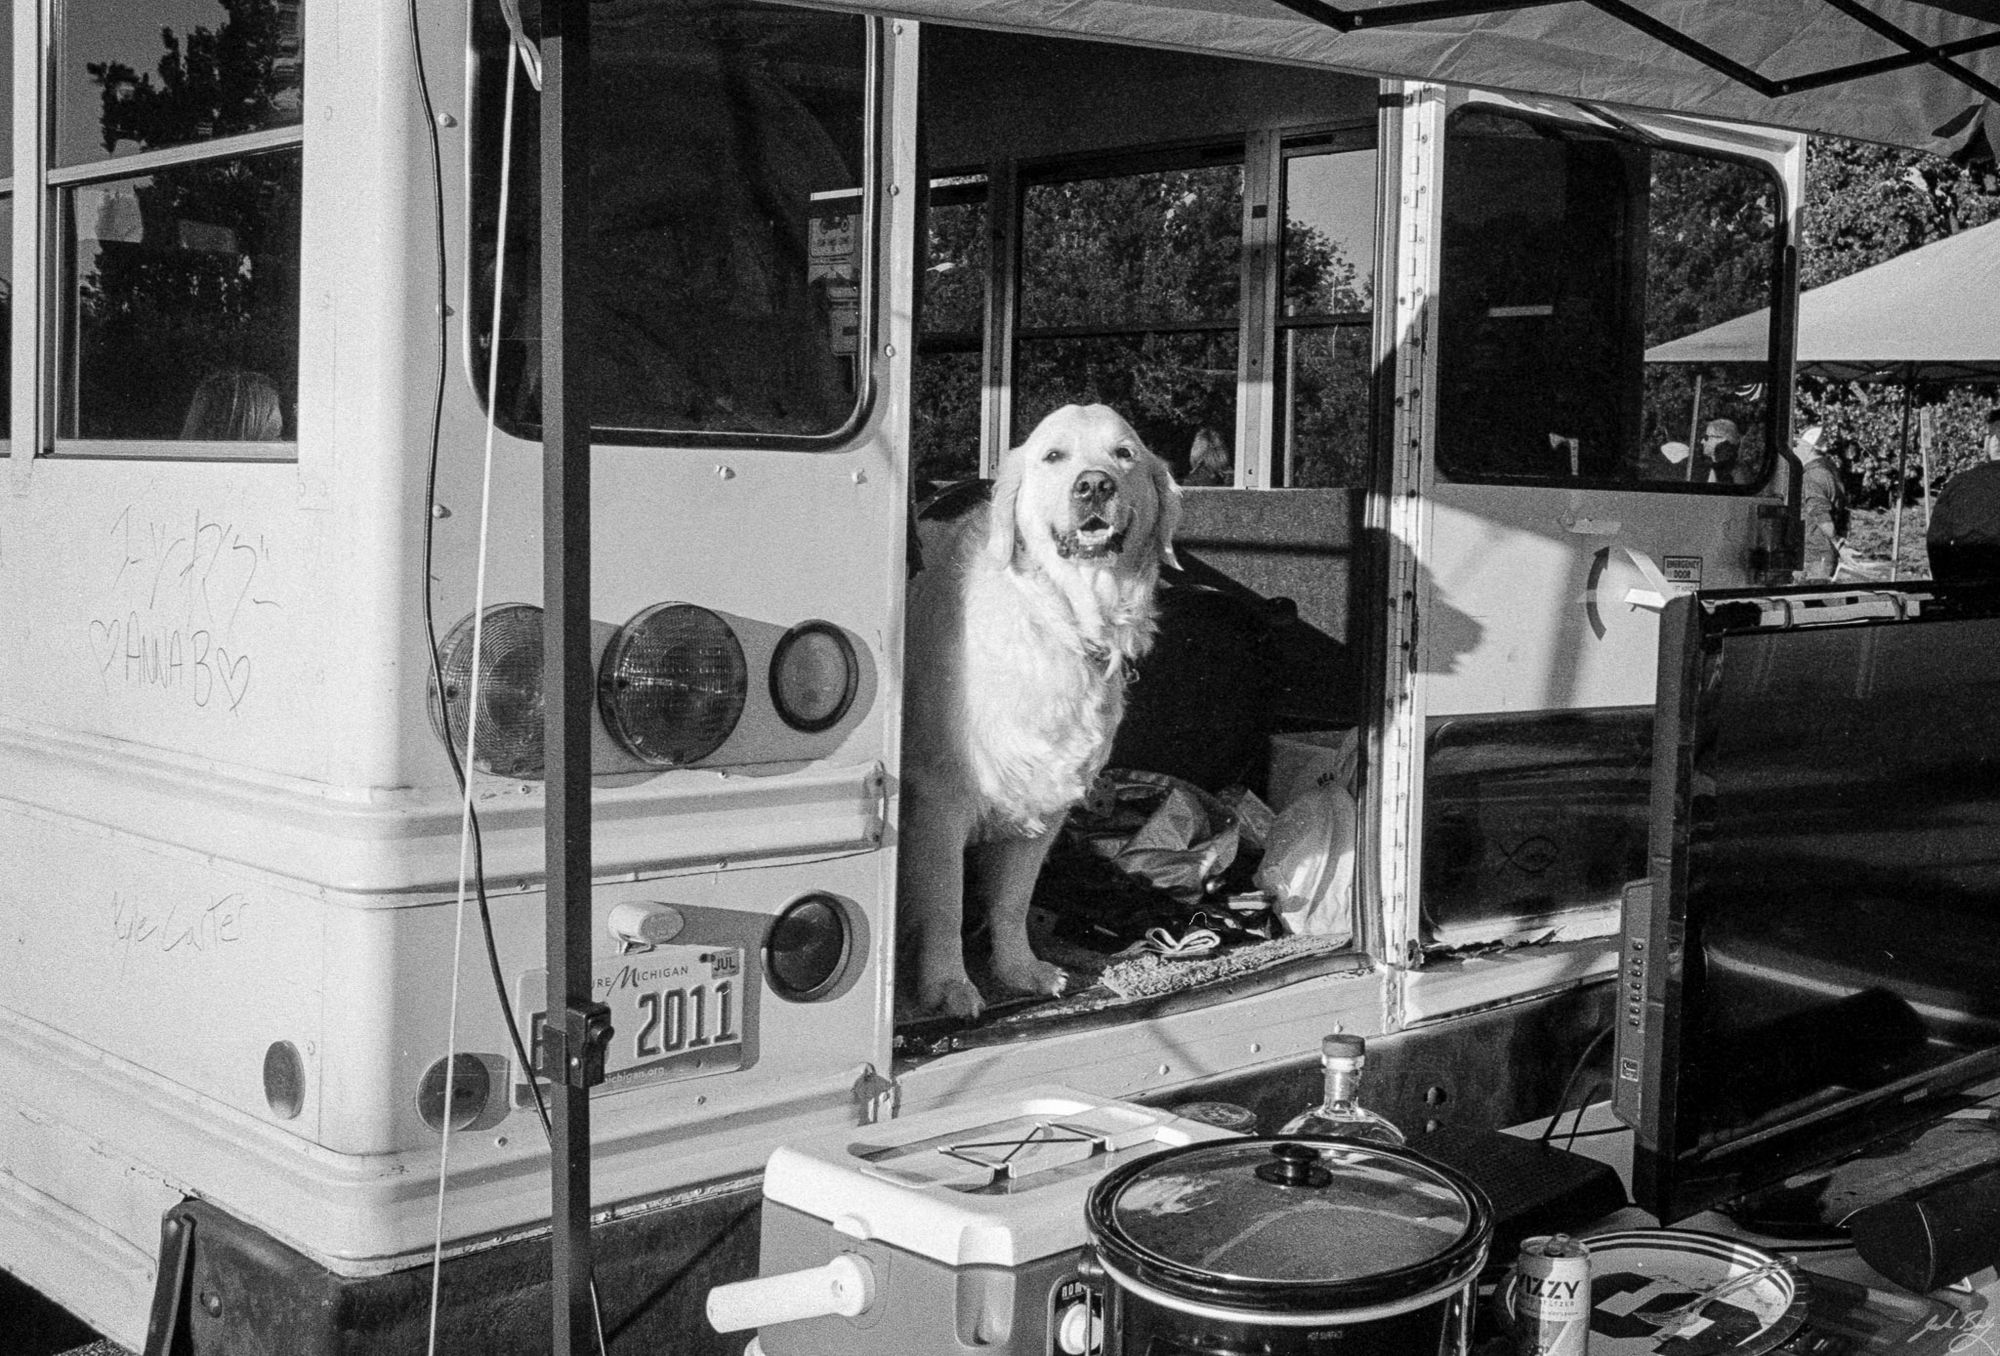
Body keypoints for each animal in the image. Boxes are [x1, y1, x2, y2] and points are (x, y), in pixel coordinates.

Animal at [904, 404, 1176, 1020]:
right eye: (1054, 456)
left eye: (1124, 454)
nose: (1094, 485)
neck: (1061, 616)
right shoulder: (940, 799)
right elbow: (947, 903)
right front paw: (950, 985)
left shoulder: (1047, 798)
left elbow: (1012, 897)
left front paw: (1019, 971)